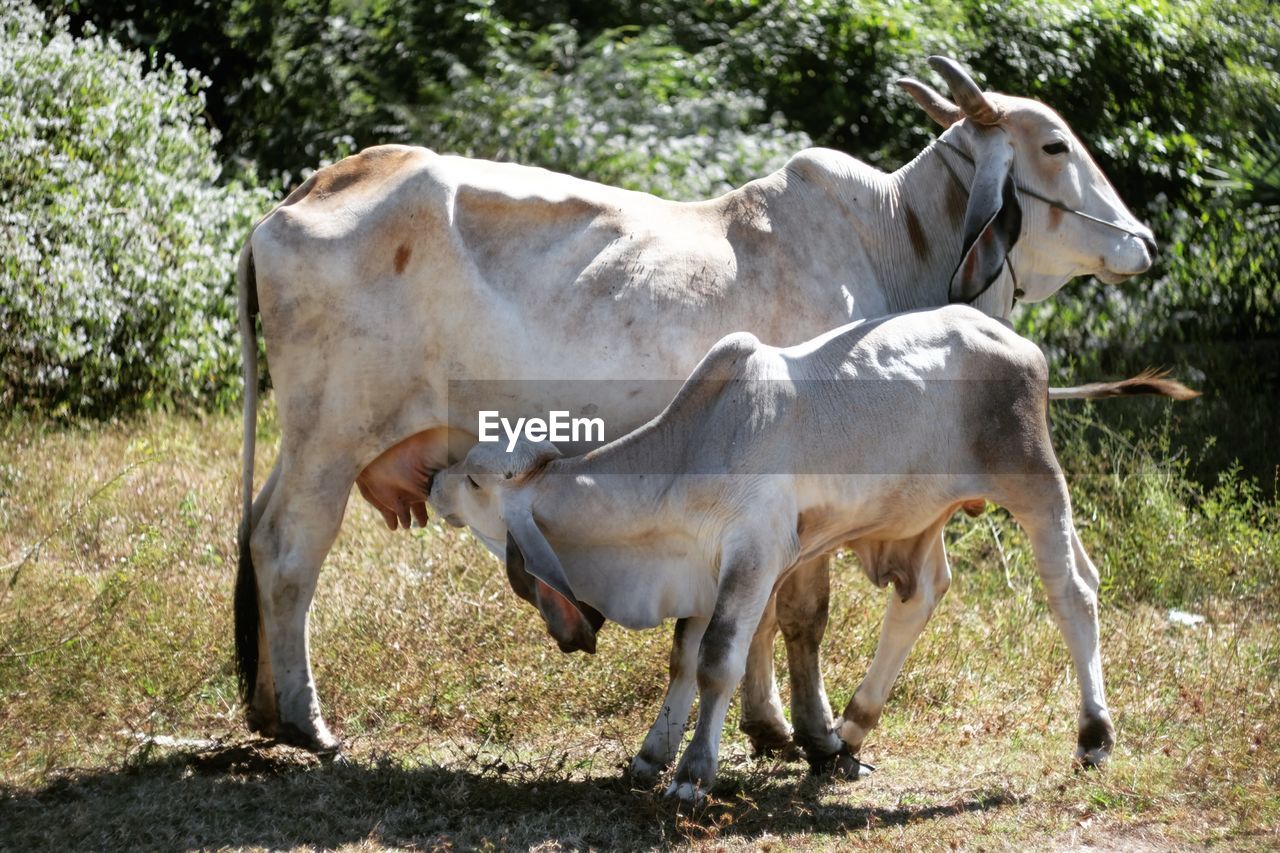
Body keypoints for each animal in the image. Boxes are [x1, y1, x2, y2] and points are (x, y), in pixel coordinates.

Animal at [430, 306, 1121, 799]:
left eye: (476, 481)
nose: (434, 479)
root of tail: (1016, 341)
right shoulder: (705, 567)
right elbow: (683, 660)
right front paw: (650, 758)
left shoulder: (754, 555)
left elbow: (717, 661)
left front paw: (692, 776)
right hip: (923, 515)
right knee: (922, 595)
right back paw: (849, 731)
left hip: (1034, 481)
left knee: (1073, 592)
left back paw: (1094, 736)